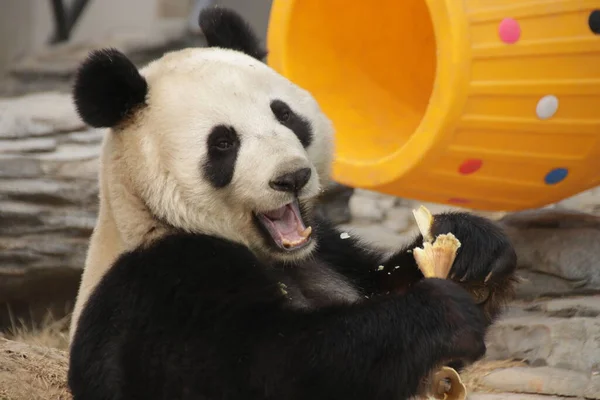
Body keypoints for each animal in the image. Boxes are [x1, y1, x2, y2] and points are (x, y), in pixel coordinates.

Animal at [68, 7, 516, 400]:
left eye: (284, 115)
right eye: (223, 143)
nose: (292, 177)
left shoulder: (327, 249)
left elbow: (378, 281)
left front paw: (473, 251)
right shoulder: (162, 288)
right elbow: (268, 368)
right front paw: (442, 313)